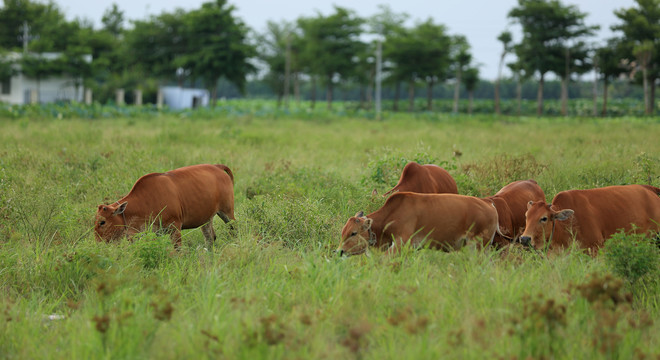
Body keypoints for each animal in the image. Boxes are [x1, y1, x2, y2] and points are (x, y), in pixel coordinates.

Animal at [94, 163, 235, 248]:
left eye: (102, 222)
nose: (98, 243)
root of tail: (216, 166)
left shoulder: (175, 228)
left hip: (227, 213)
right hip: (206, 220)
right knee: (210, 238)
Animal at [338, 191, 498, 256]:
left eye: (353, 233)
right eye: (343, 232)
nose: (339, 251)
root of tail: (488, 203)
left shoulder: (401, 243)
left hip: (477, 247)